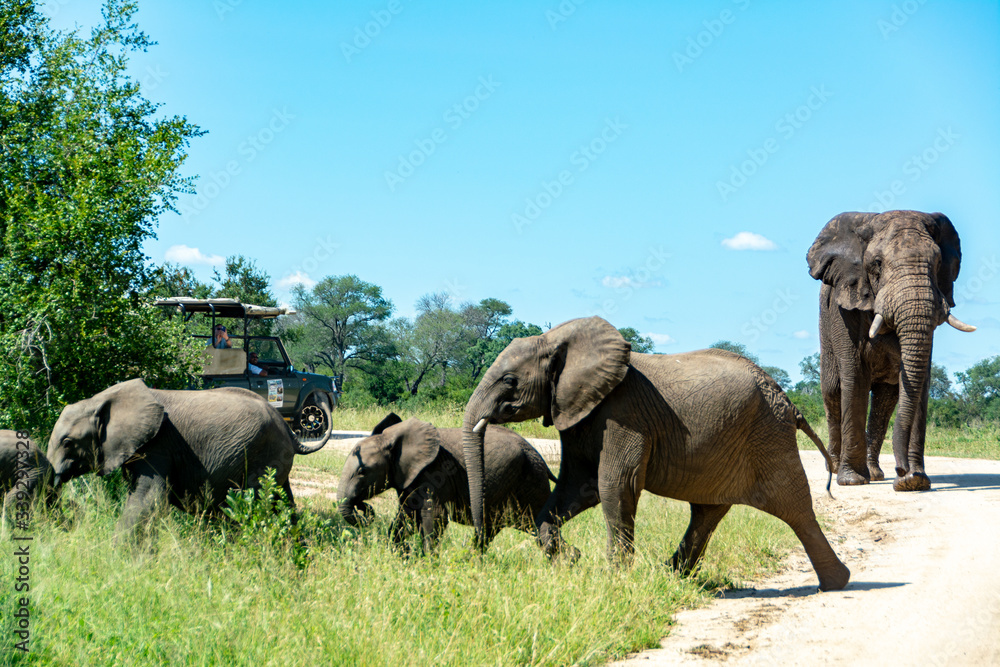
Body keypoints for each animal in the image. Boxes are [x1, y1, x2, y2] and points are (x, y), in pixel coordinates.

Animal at [46, 378, 329, 532]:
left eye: (68, 443)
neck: (102, 399)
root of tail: (289, 431)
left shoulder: (159, 445)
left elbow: (147, 499)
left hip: (263, 456)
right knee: (285, 502)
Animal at [338, 413, 555, 553]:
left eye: (362, 472)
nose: (364, 509)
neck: (391, 439)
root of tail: (539, 456)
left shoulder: (433, 474)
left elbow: (434, 518)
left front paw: (426, 562)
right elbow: (406, 518)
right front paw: (404, 554)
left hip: (530, 482)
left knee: (543, 530)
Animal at [462, 316, 850, 592]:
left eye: (509, 380)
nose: (475, 554)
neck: (560, 339)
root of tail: (790, 402)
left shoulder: (624, 414)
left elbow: (615, 485)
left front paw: (615, 580)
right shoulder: (576, 413)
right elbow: (578, 486)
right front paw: (571, 559)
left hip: (769, 435)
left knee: (794, 507)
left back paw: (836, 584)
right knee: (707, 512)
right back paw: (671, 575)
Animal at [807, 210, 975, 491]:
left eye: (938, 262)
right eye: (877, 263)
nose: (902, 470)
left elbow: (920, 381)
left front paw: (915, 482)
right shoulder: (844, 309)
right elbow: (854, 377)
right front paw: (852, 481)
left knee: (885, 402)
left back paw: (875, 474)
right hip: (824, 329)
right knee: (832, 392)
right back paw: (835, 468)